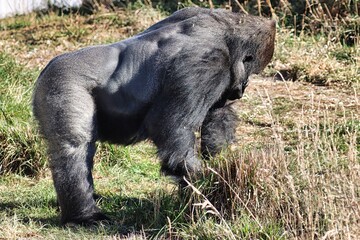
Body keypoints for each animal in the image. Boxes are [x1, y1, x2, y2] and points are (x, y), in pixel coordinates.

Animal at [33, 7, 276, 225]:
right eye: (251, 71)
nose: (242, 89)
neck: (227, 33)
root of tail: (45, 69)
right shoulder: (208, 62)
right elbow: (172, 128)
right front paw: (207, 187)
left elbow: (217, 116)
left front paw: (222, 165)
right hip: (62, 83)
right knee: (75, 148)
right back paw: (84, 215)